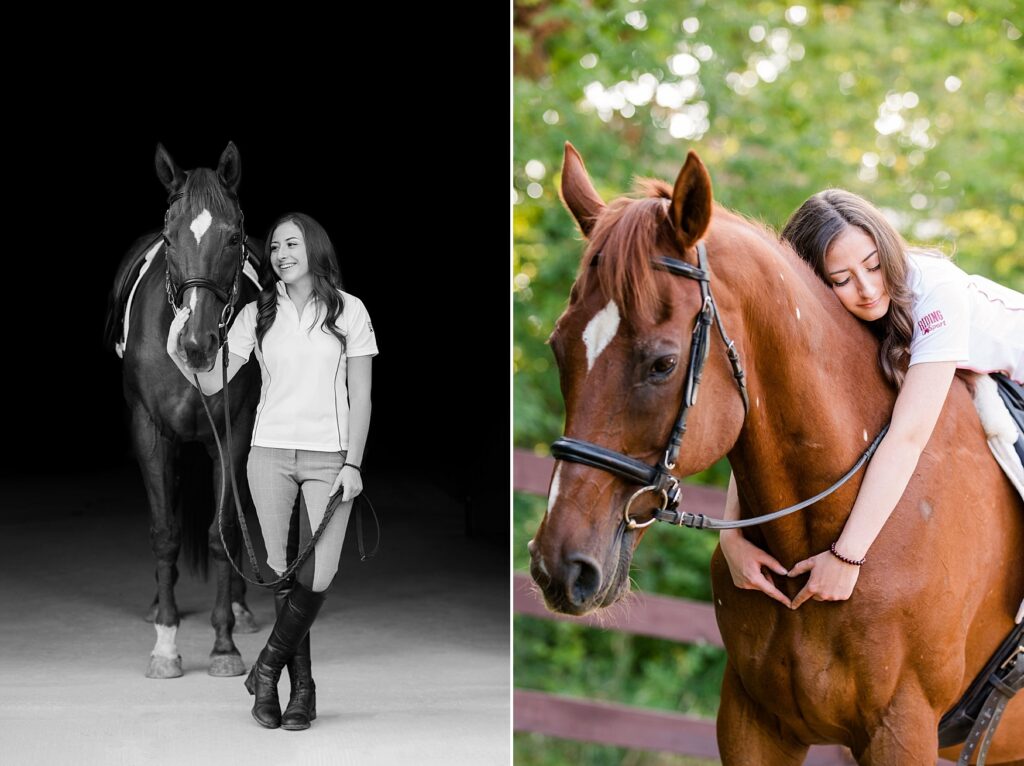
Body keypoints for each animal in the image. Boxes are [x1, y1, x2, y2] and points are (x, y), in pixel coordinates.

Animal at [105, 142, 263, 678]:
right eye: (170, 239)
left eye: (233, 237)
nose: (197, 344)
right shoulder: (149, 432)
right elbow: (165, 534)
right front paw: (166, 644)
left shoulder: (234, 434)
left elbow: (223, 532)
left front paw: (224, 645)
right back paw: (160, 603)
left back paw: (241, 608)